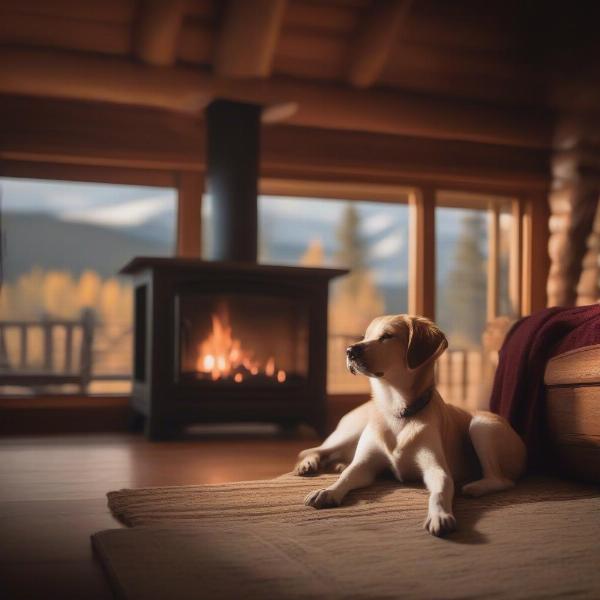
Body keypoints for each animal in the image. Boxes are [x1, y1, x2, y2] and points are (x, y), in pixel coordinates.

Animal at [296, 316, 524, 536]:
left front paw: (440, 515)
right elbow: (347, 476)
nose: (350, 350)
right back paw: (309, 465)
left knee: (502, 480)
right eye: (365, 336)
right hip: (349, 432)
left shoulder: (436, 469)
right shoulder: (365, 465)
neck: (398, 411)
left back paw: (475, 487)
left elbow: (439, 492)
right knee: (319, 450)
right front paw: (329, 491)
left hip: (481, 425)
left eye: (386, 336)